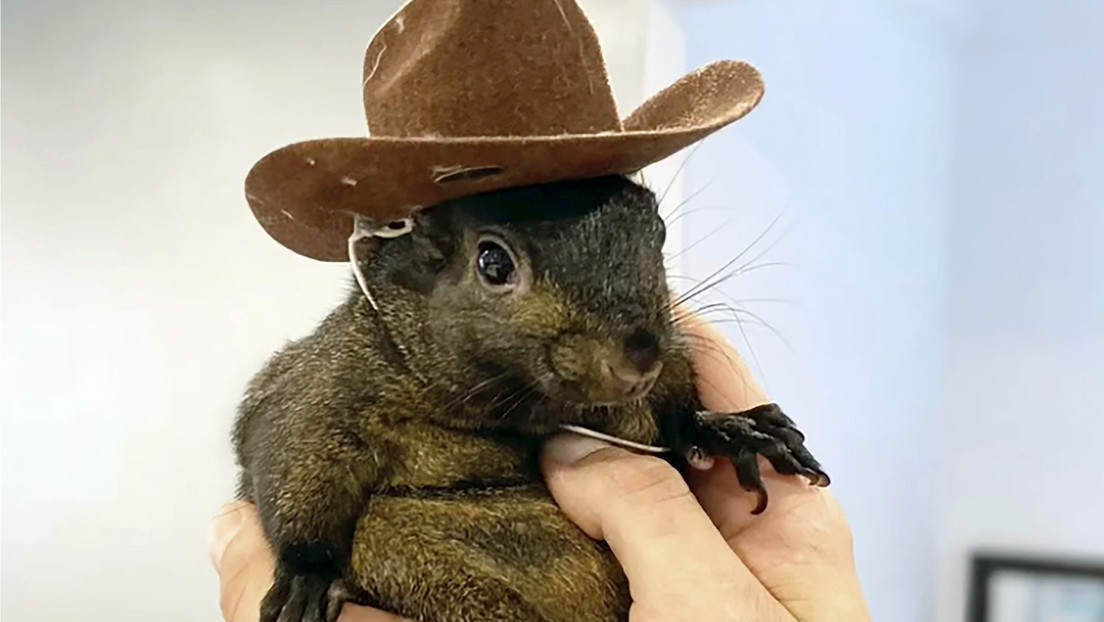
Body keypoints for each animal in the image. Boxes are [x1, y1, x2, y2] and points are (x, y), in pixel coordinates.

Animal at [231, 174, 829, 622]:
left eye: (657, 232)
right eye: (492, 263)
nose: (639, 358)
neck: (516, 408)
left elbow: (675, 413)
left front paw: (728, 429)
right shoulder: (326, 385)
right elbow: (292, 455)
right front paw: (307, 577)